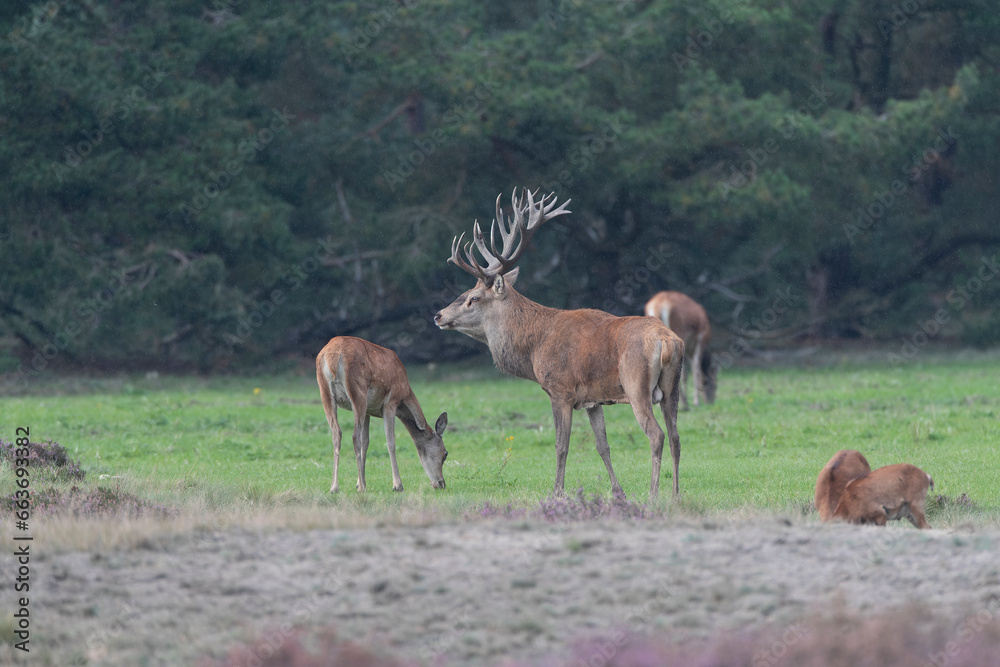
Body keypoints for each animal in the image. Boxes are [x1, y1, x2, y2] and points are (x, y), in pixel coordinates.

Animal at [316, 336, 448, 493]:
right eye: (445, 454)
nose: (441, 483)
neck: (405, 394)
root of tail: (333, 357)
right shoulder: (391, 402)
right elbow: (390, 442)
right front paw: (397, 485)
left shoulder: (368, 410)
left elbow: (366, 442)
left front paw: (359, 483)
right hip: (358, 391)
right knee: (354, 436)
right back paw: (360, 489)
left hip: (325, 392)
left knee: (337, 433)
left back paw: (334, 487)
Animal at [434, 189, 685, 498]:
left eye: (473, 297)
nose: (438, 315)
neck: (534, 348)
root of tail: (668, 341)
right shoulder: (593, 399)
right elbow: (603, 446)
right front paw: (618, 492)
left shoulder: (560, 390)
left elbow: (560, 446)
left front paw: (556, 492)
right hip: (672, 388)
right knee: (675, 437)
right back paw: (675, 494)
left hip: (636, 384)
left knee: (656, 434)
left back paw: (653, 494)